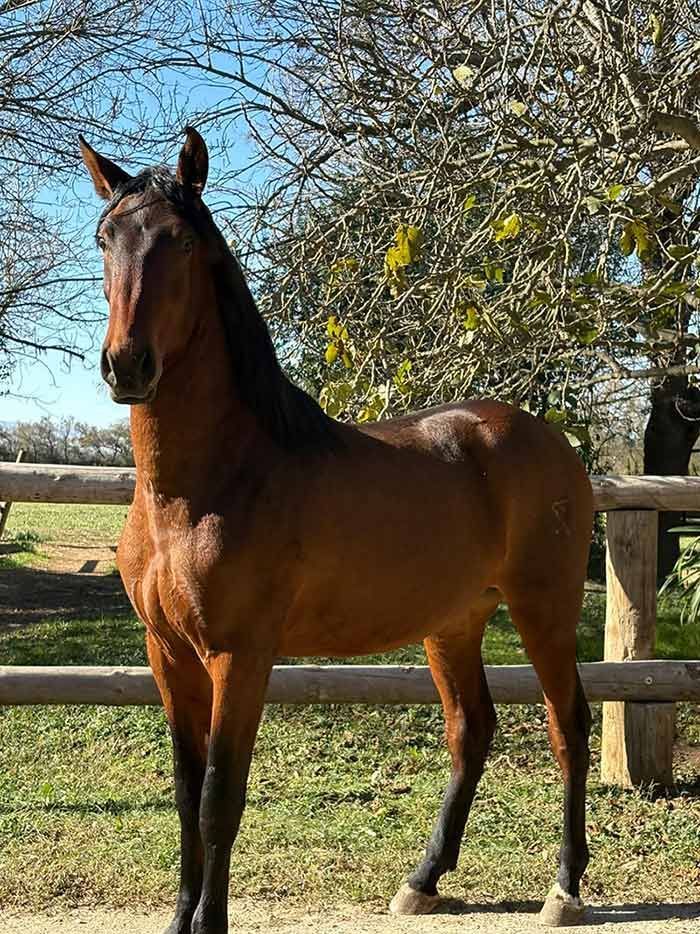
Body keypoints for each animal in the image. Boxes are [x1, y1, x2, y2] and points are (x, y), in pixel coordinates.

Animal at [79, 127, 594, 934]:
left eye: (182, 242)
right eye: (106, 238)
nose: (127, 365)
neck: (206, 485)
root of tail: (550, 440)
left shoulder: (240, 658)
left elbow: (219, 800)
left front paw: (209, 923)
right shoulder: (168, 654)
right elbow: (185, 796)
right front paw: (179, 919)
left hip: (545, 611)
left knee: (568, 726)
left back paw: (565, 886)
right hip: (453, 624)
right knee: (471, 731)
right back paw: (423, 879)